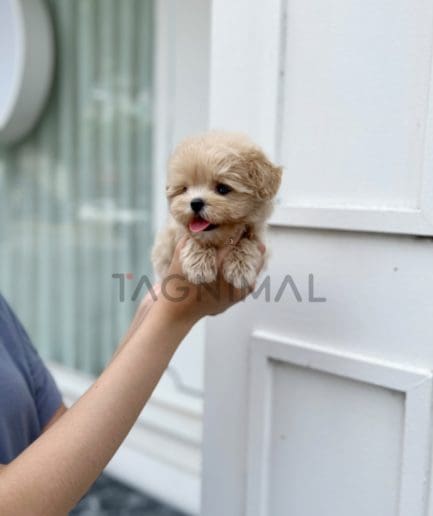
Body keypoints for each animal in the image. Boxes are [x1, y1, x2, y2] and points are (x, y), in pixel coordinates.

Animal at [150, 131, 282, 288]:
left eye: (223, 188)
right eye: (185, 189)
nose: (195, 203)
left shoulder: (259, 236)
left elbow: (249, 241)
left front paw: (240, 268)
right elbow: (194, 237)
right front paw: (199, 266)